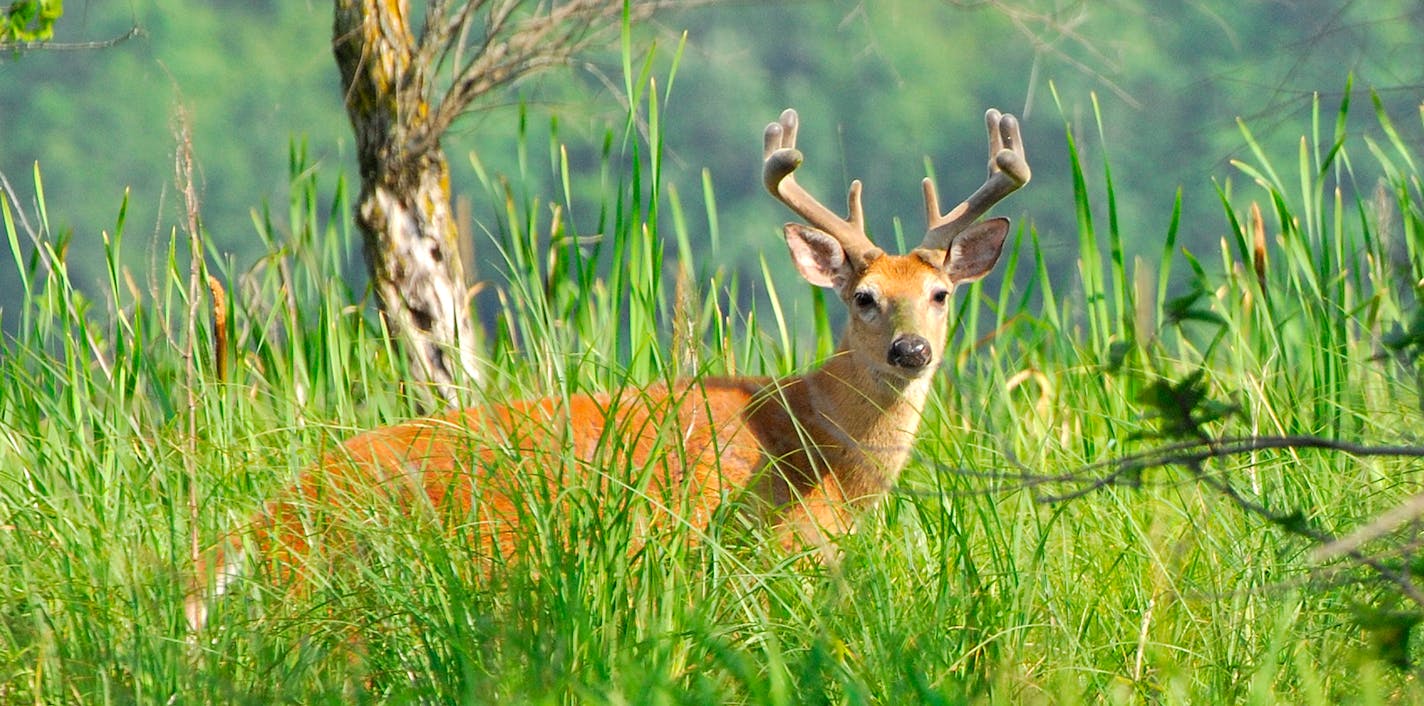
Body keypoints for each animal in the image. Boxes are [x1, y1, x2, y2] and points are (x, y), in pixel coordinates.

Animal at [192, 106, 1036, 629]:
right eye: (863, 298)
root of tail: (262, 527)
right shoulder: (761, 554)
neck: (818, 450)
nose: (911, 350)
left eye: (940, 294)